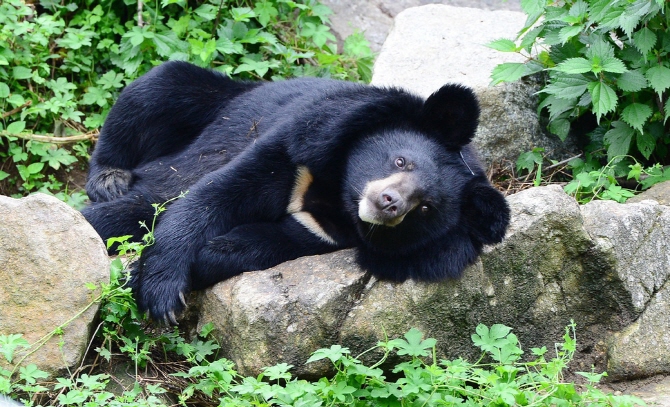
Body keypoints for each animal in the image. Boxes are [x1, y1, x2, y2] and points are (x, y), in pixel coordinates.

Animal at [85, 60, 516, 324]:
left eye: (426, 208)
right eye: (401, 161)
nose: (388, 203)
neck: (337, 193)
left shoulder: (326, 232)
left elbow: (259, 243)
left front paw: (168, 268)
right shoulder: (306, 140)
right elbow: (214, 194)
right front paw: (161, 293)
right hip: (221, 103)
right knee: (159, 89)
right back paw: (108, 180)